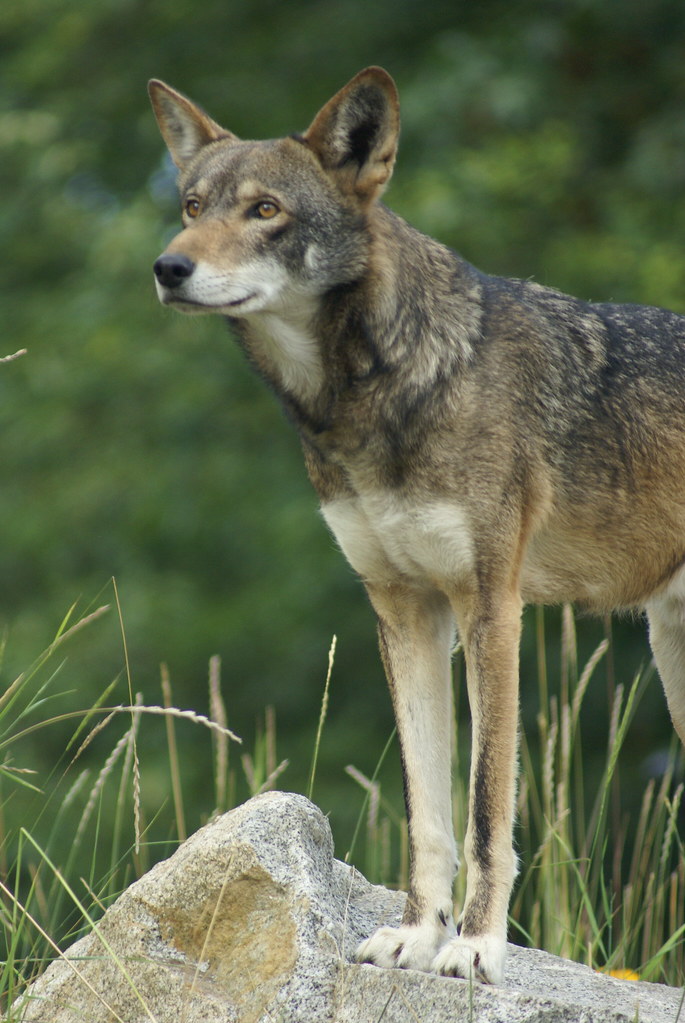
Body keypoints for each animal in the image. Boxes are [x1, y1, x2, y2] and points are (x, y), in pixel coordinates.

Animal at [148, 67, 685, 985]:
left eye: (264, 210)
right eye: (191, 205)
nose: (168, 266)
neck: (374, 393)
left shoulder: (490, 606)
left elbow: (484, 808)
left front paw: (474, 945)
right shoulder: (403, 610)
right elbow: (425, 811)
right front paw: (413, 934)